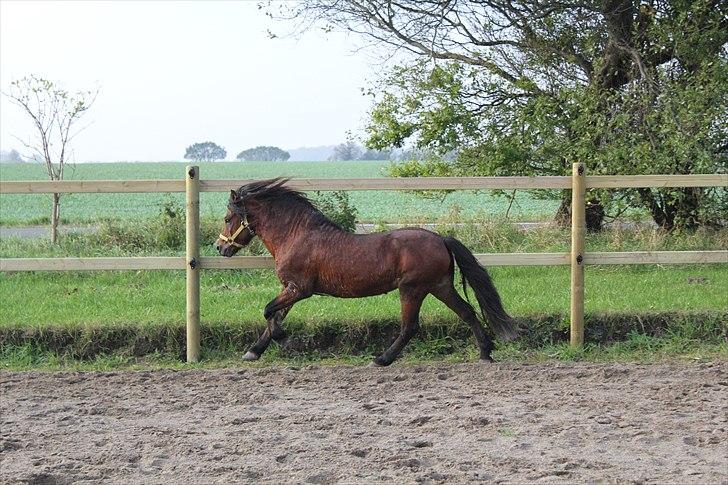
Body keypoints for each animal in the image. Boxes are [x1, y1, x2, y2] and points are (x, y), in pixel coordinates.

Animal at [216, 178, 516, 364]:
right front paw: (254, 352)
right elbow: (274, 316)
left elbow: (268, 312)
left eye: (228, 218)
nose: (220, 247)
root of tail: (440, 238)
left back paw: (382, 359)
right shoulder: (289, 288)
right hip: (440, 286)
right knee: (467, 312)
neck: (296, 235)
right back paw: (485, 353)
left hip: (413, 289)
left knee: (410, 327)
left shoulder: (300, 289)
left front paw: (284, 340)